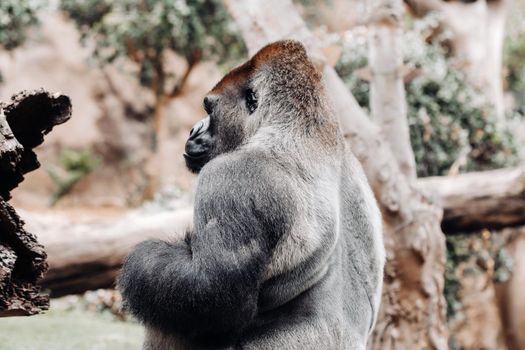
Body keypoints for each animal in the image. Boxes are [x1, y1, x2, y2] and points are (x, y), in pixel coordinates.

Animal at [121, 39, 386, 348]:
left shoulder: (232, 179)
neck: (301, 125)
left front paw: (144, 257)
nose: (192, 130)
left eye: (210, 110)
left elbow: (208, 293)